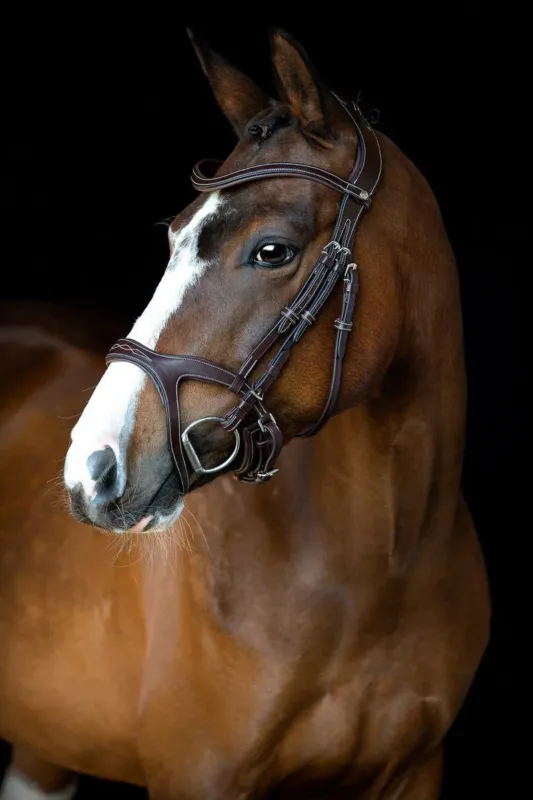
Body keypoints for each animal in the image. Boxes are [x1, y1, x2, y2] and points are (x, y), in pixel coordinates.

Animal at [0, 29, 489, 800]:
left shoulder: (415, 774)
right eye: (173, 237)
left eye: (271, 250)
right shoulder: (198, 779)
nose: (93, 469)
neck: (378, 576)